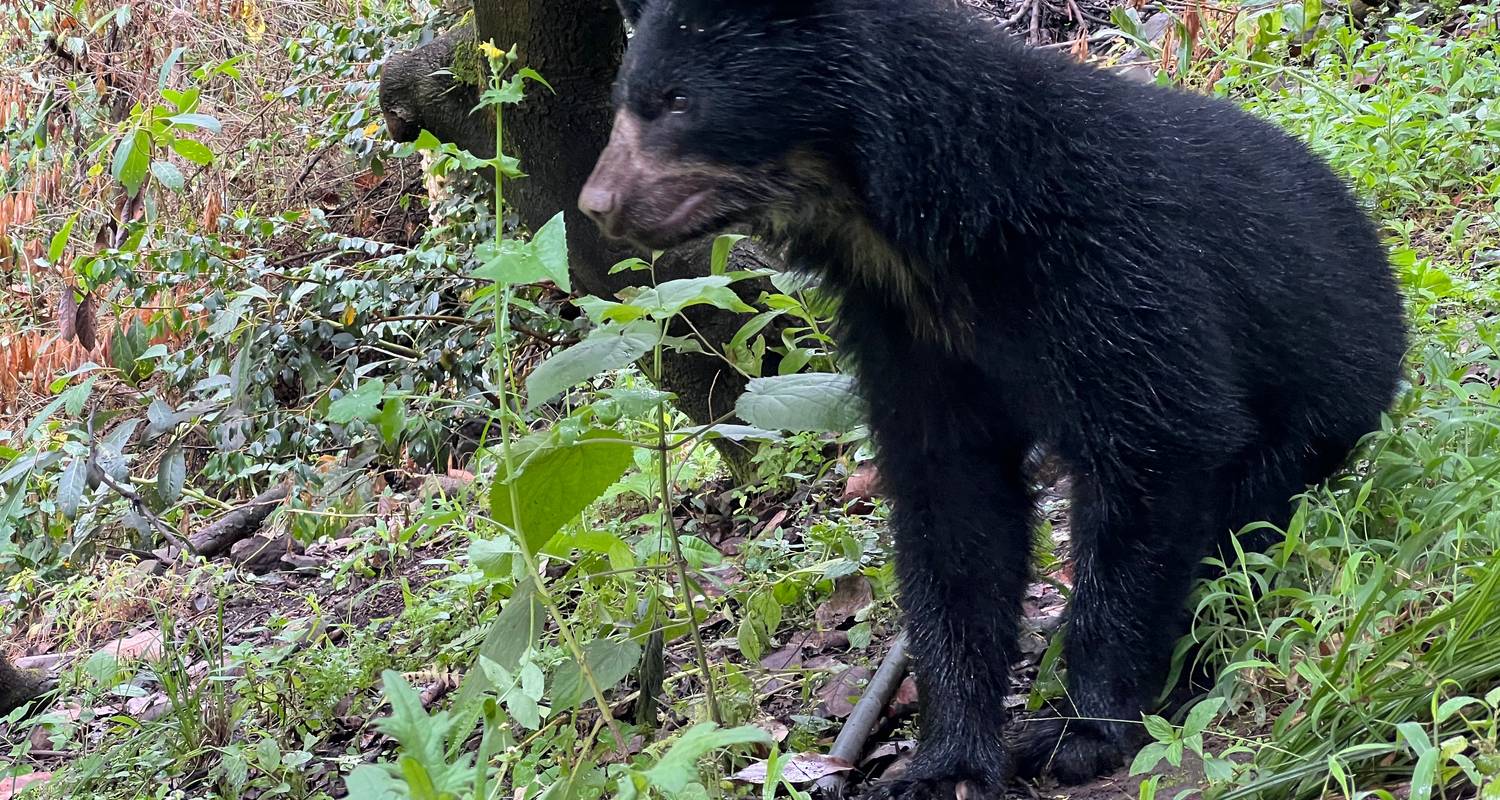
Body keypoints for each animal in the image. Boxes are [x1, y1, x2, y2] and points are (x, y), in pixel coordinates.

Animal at [576, 3, 1404, 792]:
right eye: (623, 101)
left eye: (676, 101)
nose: (596, 204)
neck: (922, 237)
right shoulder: (905, 332)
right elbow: (953, 508)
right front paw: (943, 763)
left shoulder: (1115, 264)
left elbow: (1159, 443)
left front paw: (1081, 732)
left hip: (1316, 412)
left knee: (1245, 522)